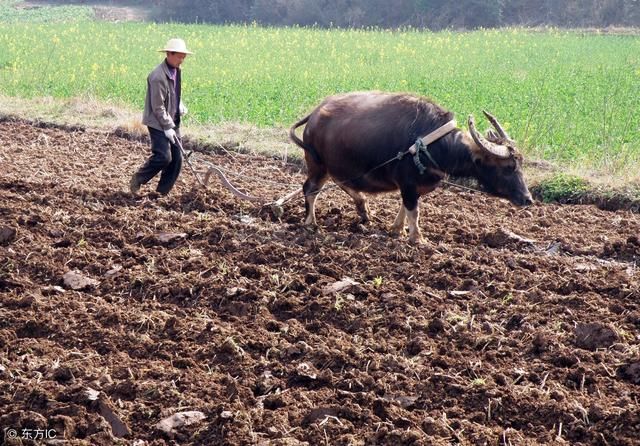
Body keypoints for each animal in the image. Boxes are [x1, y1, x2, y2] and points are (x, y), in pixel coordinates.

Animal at [288, 91, 528, 244]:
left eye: (521, 163)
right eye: (508, 167)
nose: (527, 199)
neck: (430, 144)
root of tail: (315, 113)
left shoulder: (412, 186)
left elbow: (405, 207)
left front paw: (397, 230)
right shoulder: (409, 183)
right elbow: (414, 210)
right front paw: (417, 238)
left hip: (333, 166)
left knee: (340, 183)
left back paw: (363, 209)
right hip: (316, 164)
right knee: (310, 189)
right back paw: (311, 223)